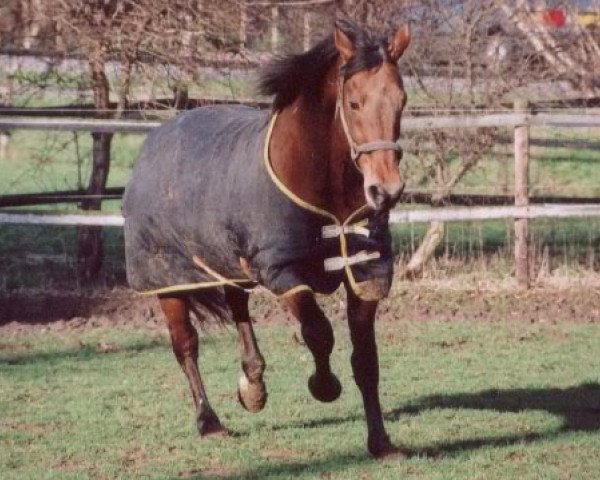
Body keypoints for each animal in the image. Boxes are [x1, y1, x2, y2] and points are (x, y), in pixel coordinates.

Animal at [124, 20, 410, 460]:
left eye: (401, 100)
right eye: (354, 103)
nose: (386, 191)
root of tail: (158, 136)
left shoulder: (367, 274)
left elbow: (366, 361)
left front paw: (380, 442)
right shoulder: (283, 273)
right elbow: (319, 332)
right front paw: (324, 387)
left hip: (228, 263)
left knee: (238, 308)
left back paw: (253, 386)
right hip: (170, 281)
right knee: (185, 345)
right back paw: (210, 422)